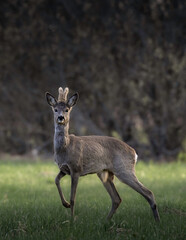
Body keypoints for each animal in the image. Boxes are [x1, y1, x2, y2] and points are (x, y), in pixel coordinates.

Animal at [45, 86, 160, 221]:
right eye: (55, 109)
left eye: (67, 110)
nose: (61, 118)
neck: (65, 148)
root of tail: (134, 153)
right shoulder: (64, 169)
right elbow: (56, 180)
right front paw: (65, 204)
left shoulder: (76, 168)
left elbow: (73, 198)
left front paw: (72, 219)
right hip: (105, 173)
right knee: (117, 199)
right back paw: (105, 221)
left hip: (124, 169)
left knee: (148, 193)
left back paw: (157, 221)